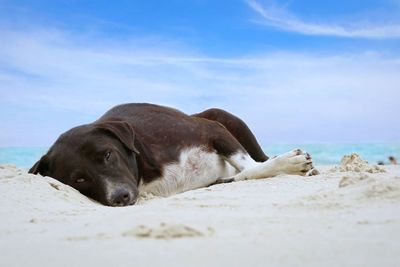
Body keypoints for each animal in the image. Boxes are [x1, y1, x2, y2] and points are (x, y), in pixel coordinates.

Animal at [28, 104, 318, 207]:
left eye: (108, 155)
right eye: (78, 180)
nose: (120, 197)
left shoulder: (211, 130)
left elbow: (248, 163)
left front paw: (287, 162)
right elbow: (247, 172)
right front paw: (287, 164)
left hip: (223, 116)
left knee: (258, 156)